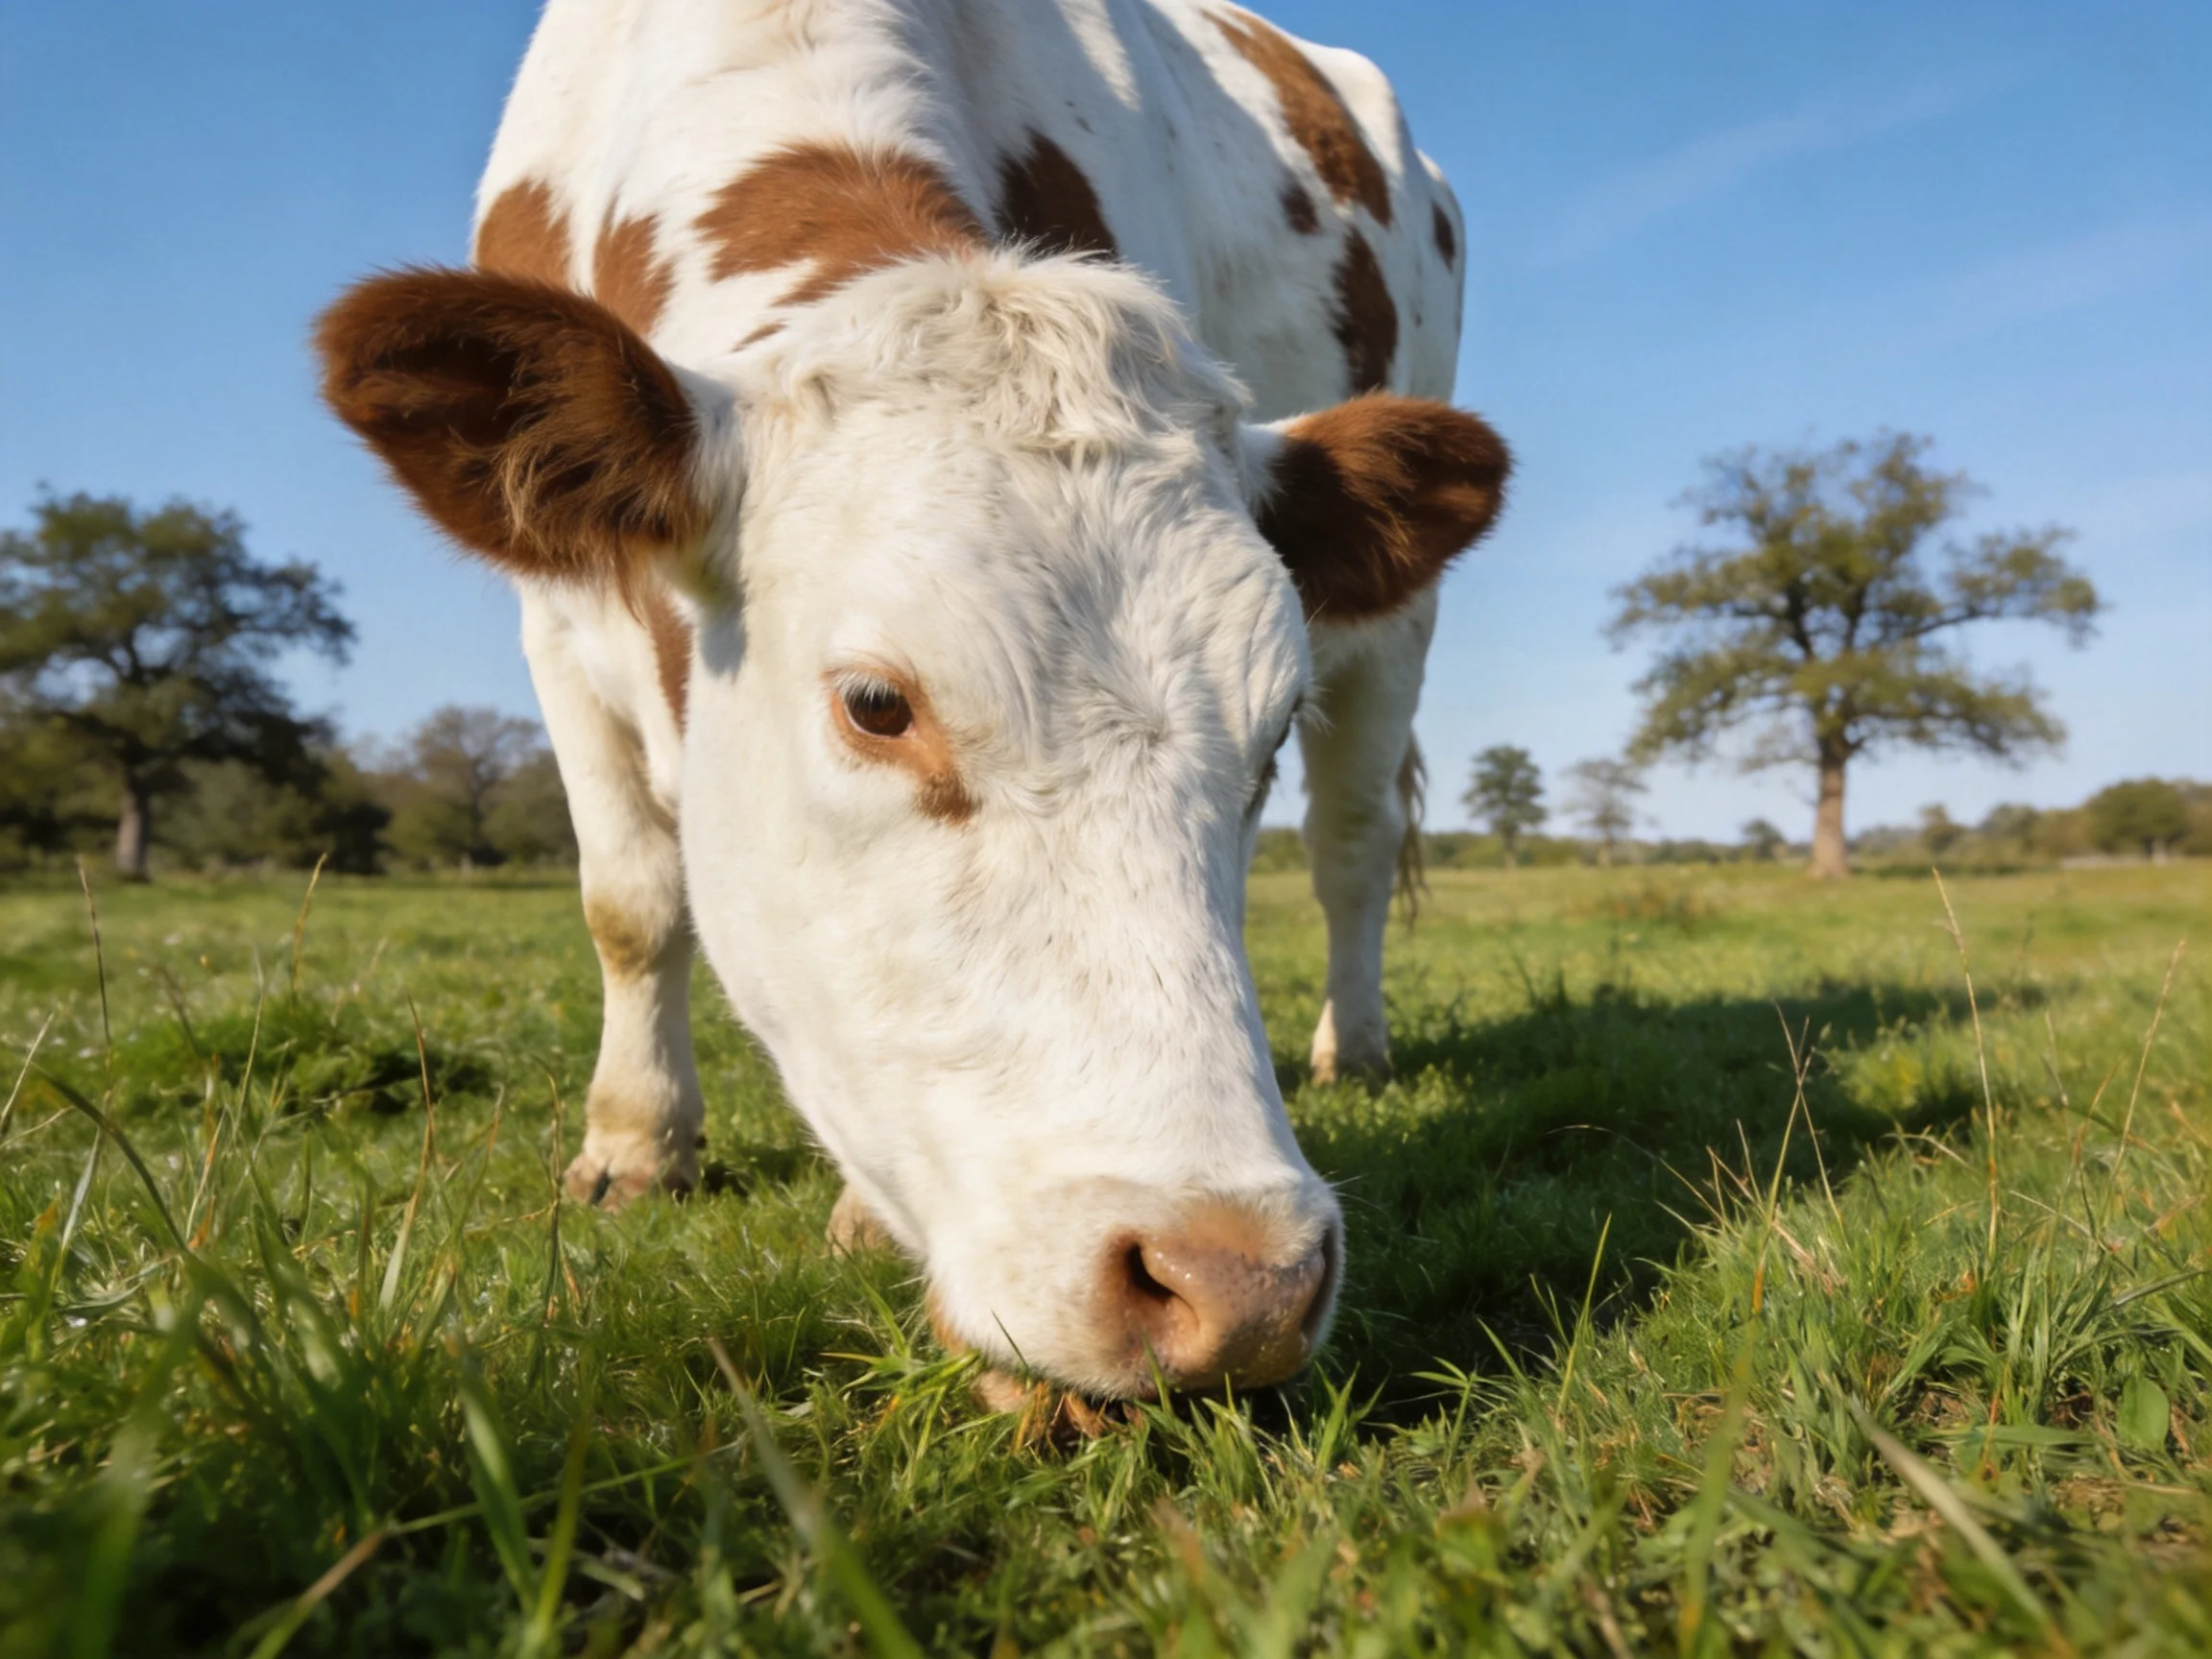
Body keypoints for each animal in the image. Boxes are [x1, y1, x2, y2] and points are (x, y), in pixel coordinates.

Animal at [316, 0, 1508, 1407]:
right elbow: (630, 904)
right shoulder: (556, 617)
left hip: (1398, 626)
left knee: (1353, 847)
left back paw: (1353, 1049)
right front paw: (636, 1146)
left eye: (1266, 737)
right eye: (878, 704)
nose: (1240, 1281)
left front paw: (853, 1215)